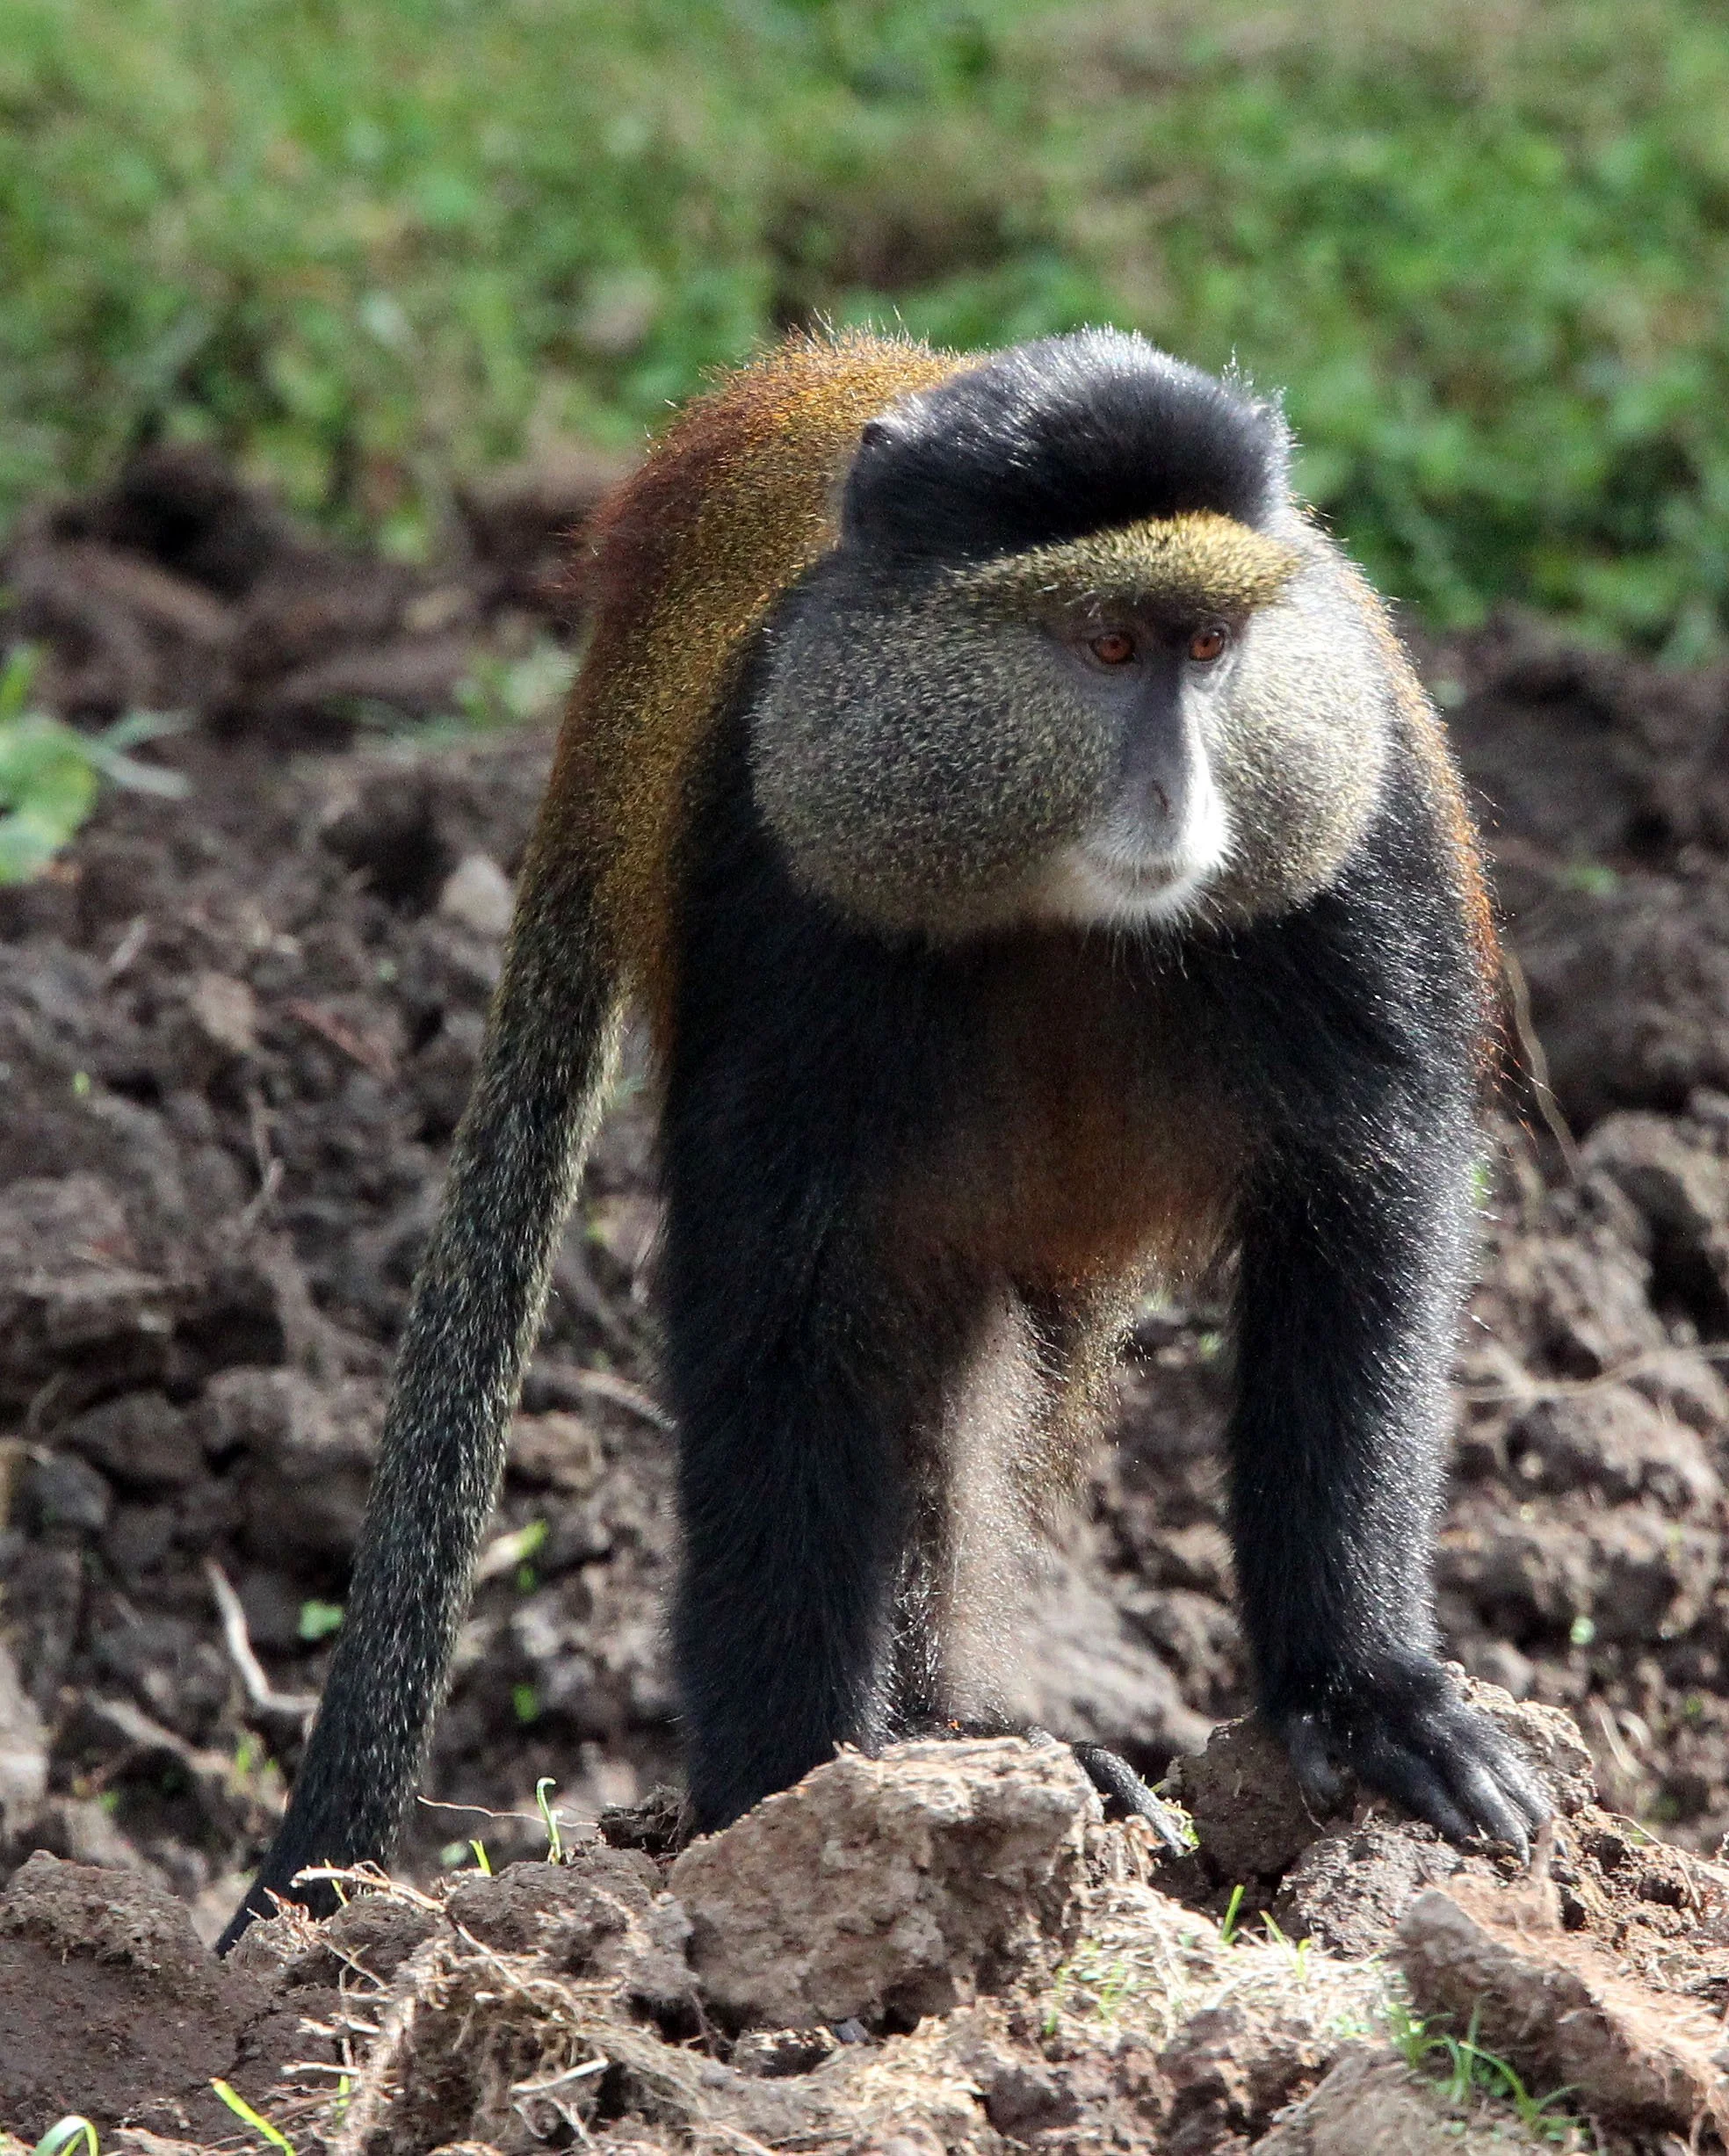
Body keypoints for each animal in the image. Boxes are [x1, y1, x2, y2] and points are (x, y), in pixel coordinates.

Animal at [219, 326, 1548, 1950]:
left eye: (1208, 648)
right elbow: (780, 1290)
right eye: (1107, 648)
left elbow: (1366, 1218)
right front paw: (791, 1794)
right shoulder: (775, 865)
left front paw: (1366, 1700)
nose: (1179, 788)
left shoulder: (1366, 849)